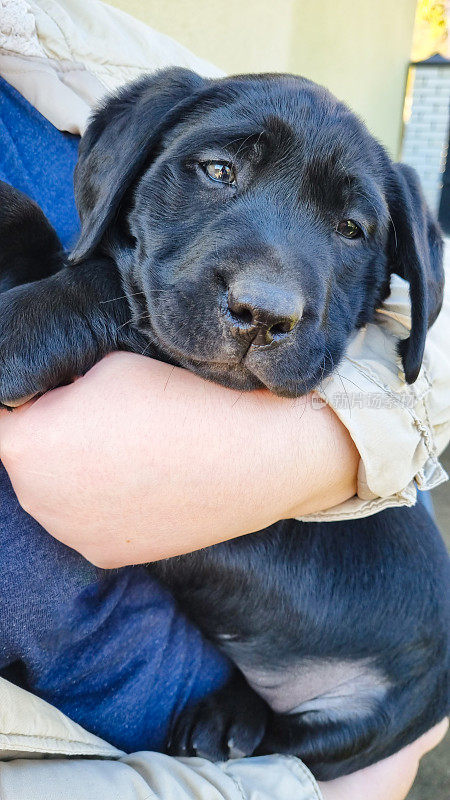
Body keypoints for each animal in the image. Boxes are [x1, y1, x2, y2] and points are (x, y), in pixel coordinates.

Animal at [0, 70, 448, 780]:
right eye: (218, 171)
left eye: (352, 229)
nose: (265, 313)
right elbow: (60, 241)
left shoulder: (159, 340)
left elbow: (107, 285)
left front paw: (18, 331)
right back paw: (227, 715)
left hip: (367, 725)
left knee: (291, 748)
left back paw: (228, 728)